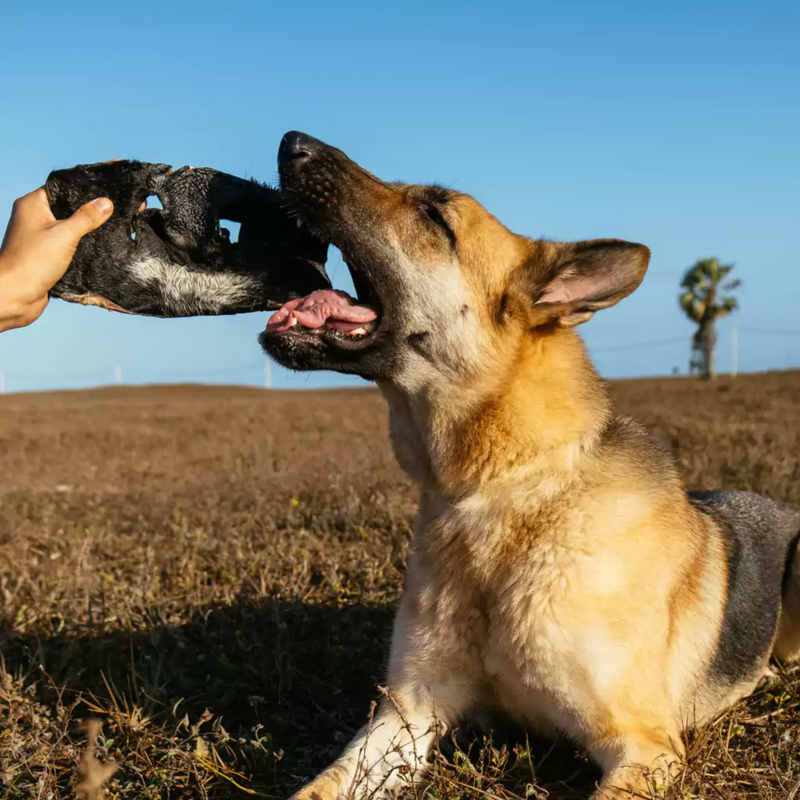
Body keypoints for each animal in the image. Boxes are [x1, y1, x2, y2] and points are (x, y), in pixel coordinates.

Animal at [262, 134, 800, 796]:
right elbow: (322, 784)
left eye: (435, 215)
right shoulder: (406, 712)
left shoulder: (644, 747)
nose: (291, 142)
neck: (501, 491)